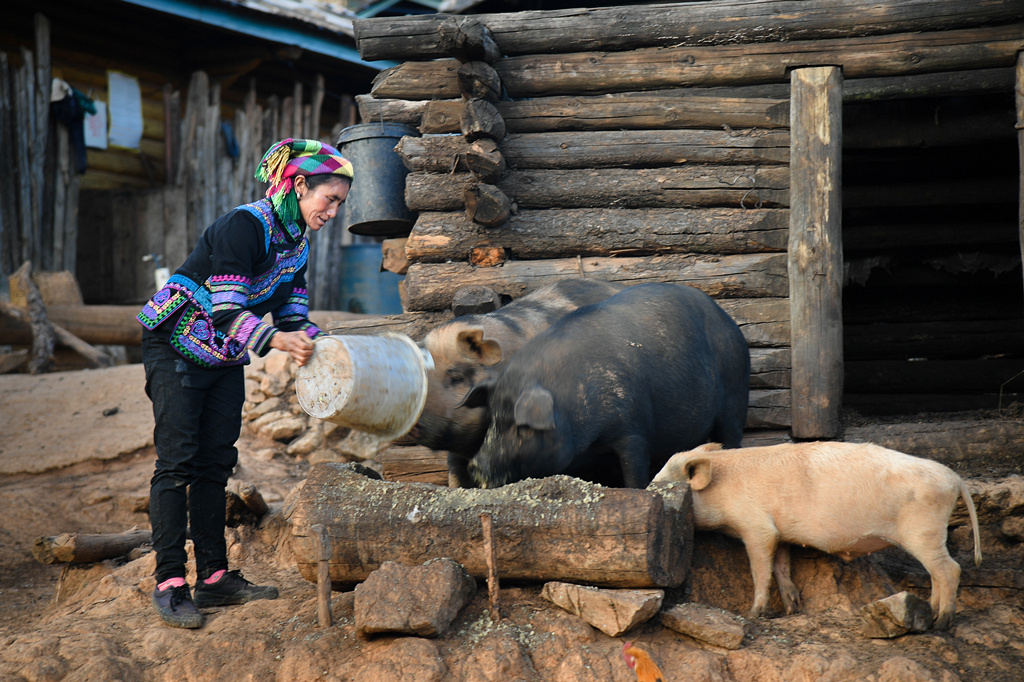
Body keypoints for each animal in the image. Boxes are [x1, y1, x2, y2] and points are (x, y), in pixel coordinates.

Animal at [460, 280, 749, 489]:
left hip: (735, 396)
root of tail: (731, 322)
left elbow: (634, 473)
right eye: (493, 419)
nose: (475, 465)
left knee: (732, 437)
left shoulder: (633, 429)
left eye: (520, 427)